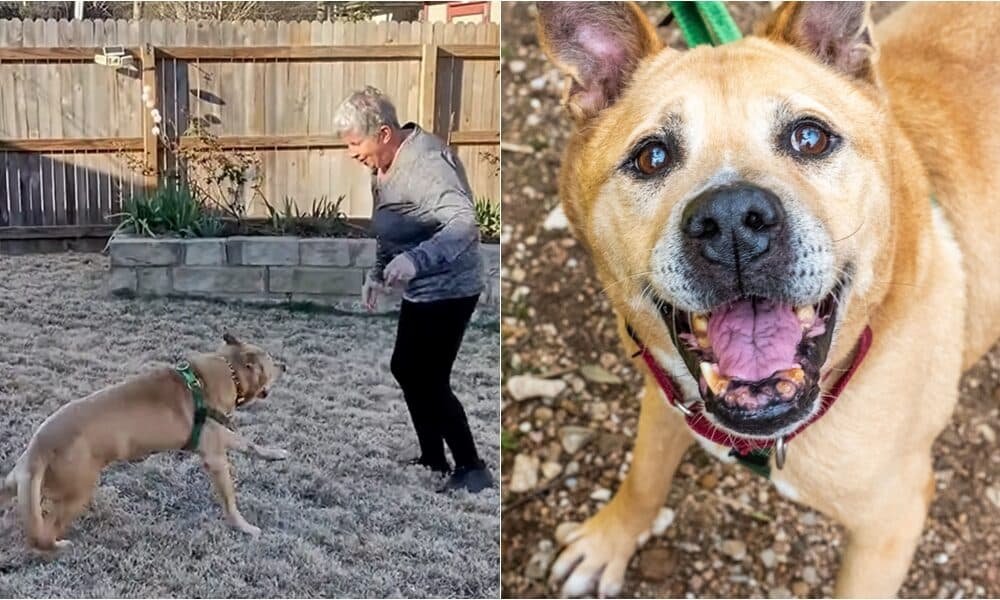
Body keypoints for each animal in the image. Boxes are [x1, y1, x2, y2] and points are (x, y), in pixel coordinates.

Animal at [0, 336, 290, 552]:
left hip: (20, 486)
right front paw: (245, 528)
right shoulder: (215, 458)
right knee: (43, 537)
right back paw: (61, 546)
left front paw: (275, 453)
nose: (286, 366)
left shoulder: (218, 435)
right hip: (77, 491)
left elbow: (250, 444)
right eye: (271, 362)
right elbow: (230, 502)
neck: (228, 370)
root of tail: (37, 450)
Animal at [540, 2, 1000, 596]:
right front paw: (608, 541)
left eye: (810, 138)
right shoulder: (666, 397)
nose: (733, 220)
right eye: (652, 157)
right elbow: (644, 476)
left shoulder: (890, 523)